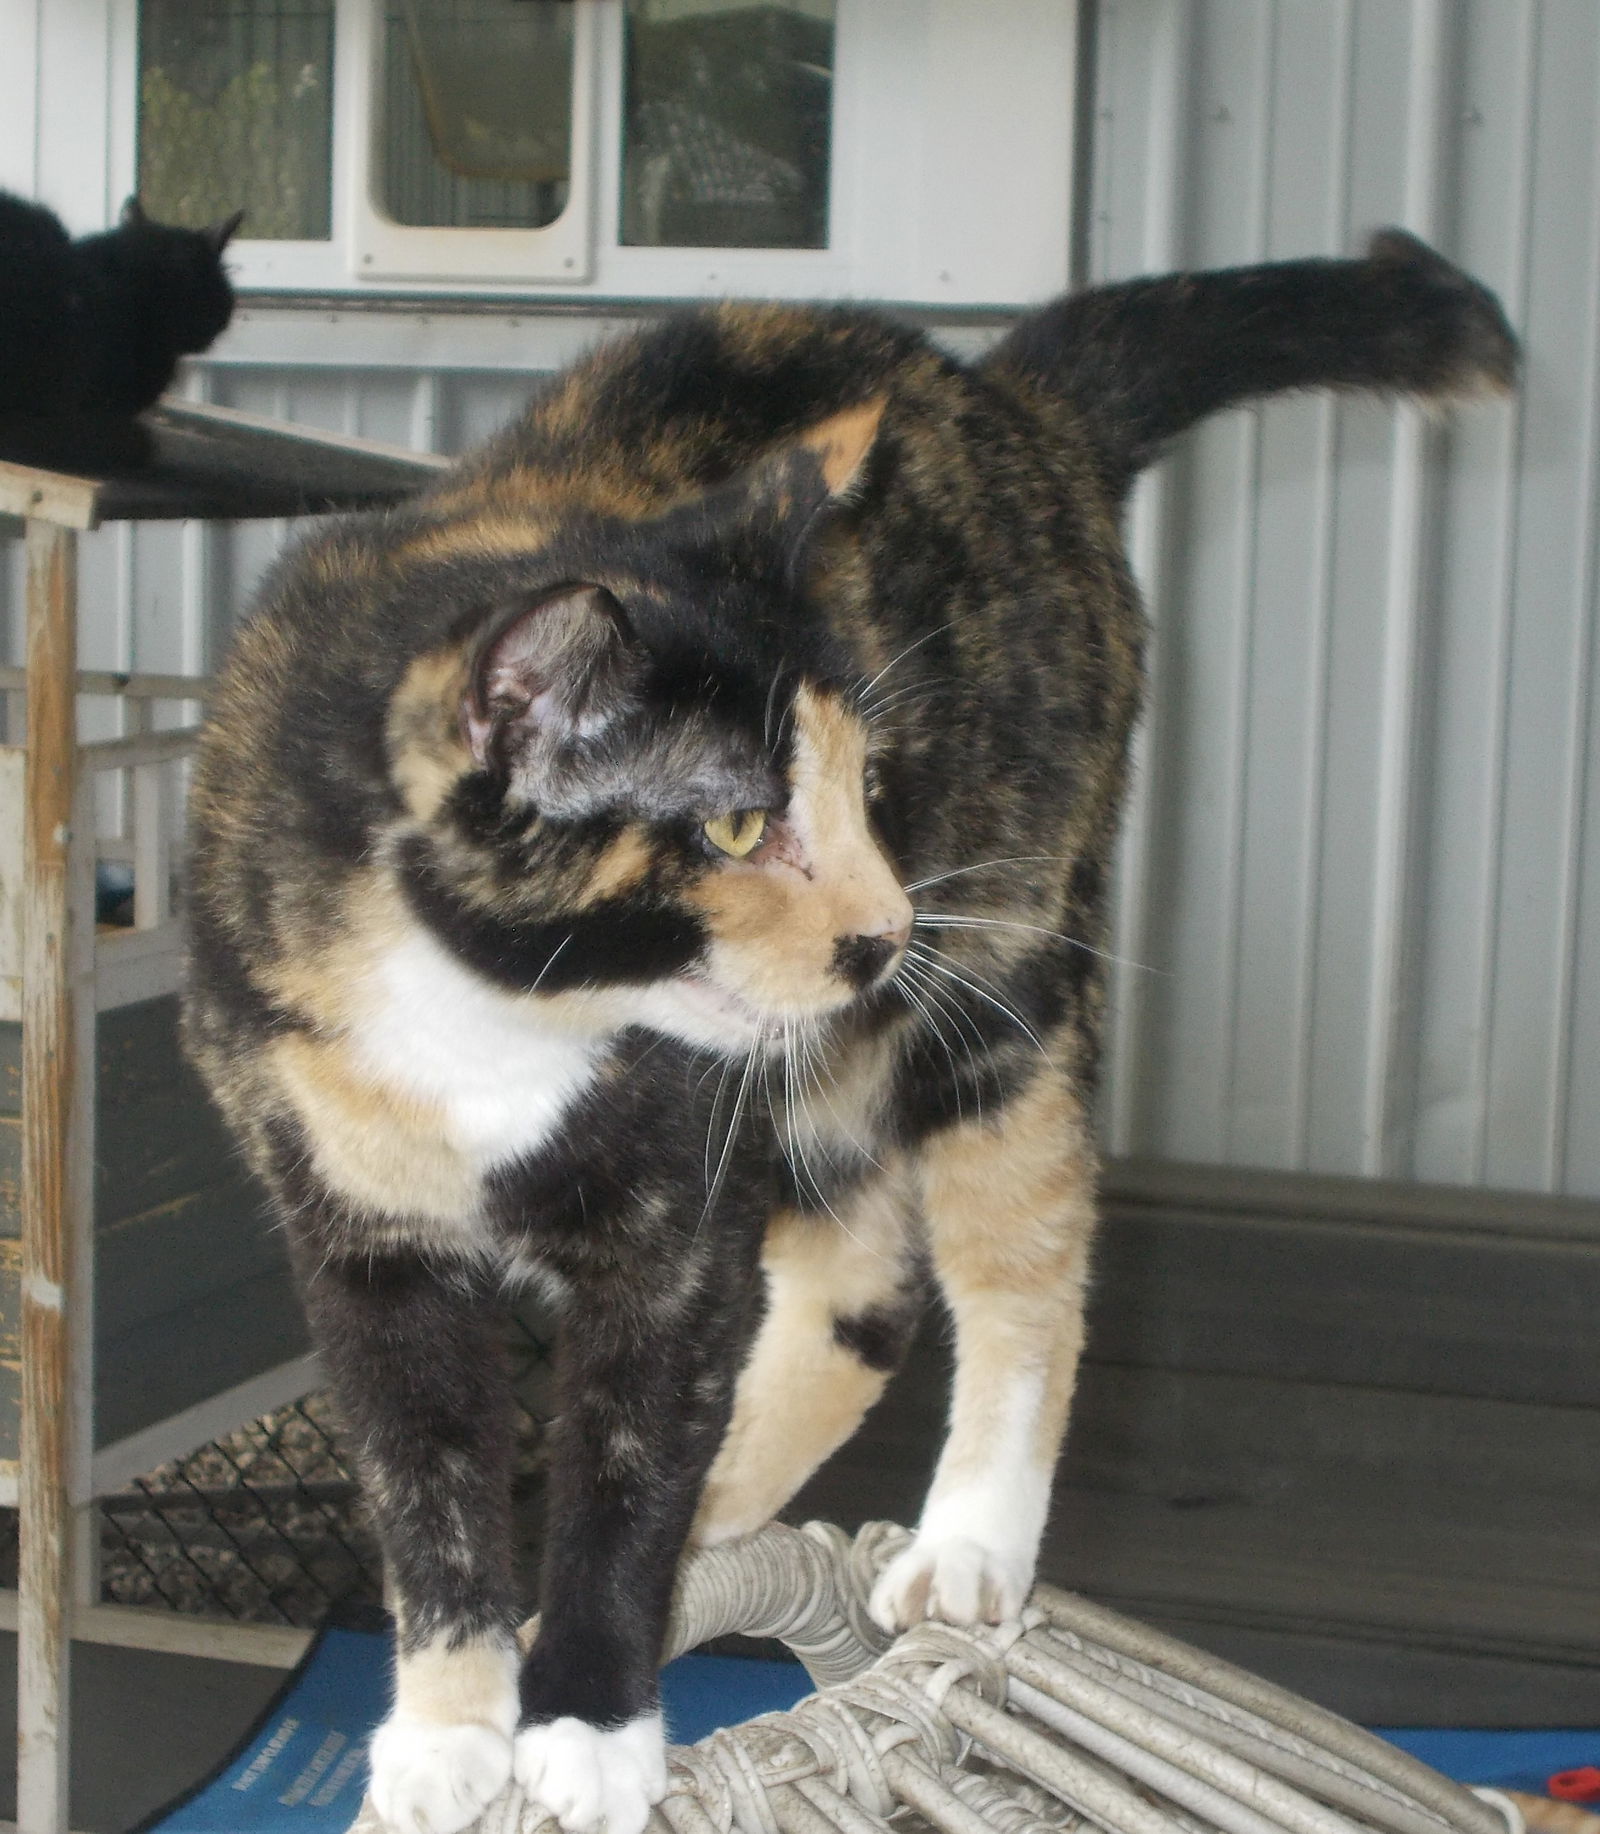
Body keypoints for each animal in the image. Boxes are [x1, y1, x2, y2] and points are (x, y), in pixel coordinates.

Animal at [187, 232, 1511, 1834]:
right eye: (738, 824)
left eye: (866, 787)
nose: (883, 925)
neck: (499, 1018)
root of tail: (1011, 399)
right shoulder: (358, 1234)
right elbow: (422, 1479)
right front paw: (449, 1729)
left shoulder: (676, 1219)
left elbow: (631, 1453)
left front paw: (590, 1723)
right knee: (862, 1292)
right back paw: (722, 1519)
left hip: (1004, 967)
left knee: (1016, 1255)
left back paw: (965, 1545)